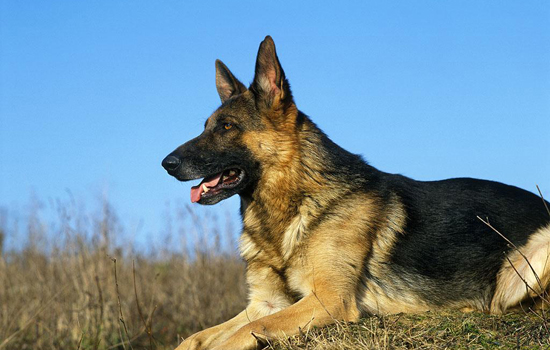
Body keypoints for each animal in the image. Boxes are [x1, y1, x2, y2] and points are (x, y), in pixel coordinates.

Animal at [163, 36, 550, 350]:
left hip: (525, 267)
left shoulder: (328, 300)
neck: (295, 204)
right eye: (206, 127)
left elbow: (240, 334)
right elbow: (193, 338)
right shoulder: (265, 303)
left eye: (227, 127)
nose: (166, 163)